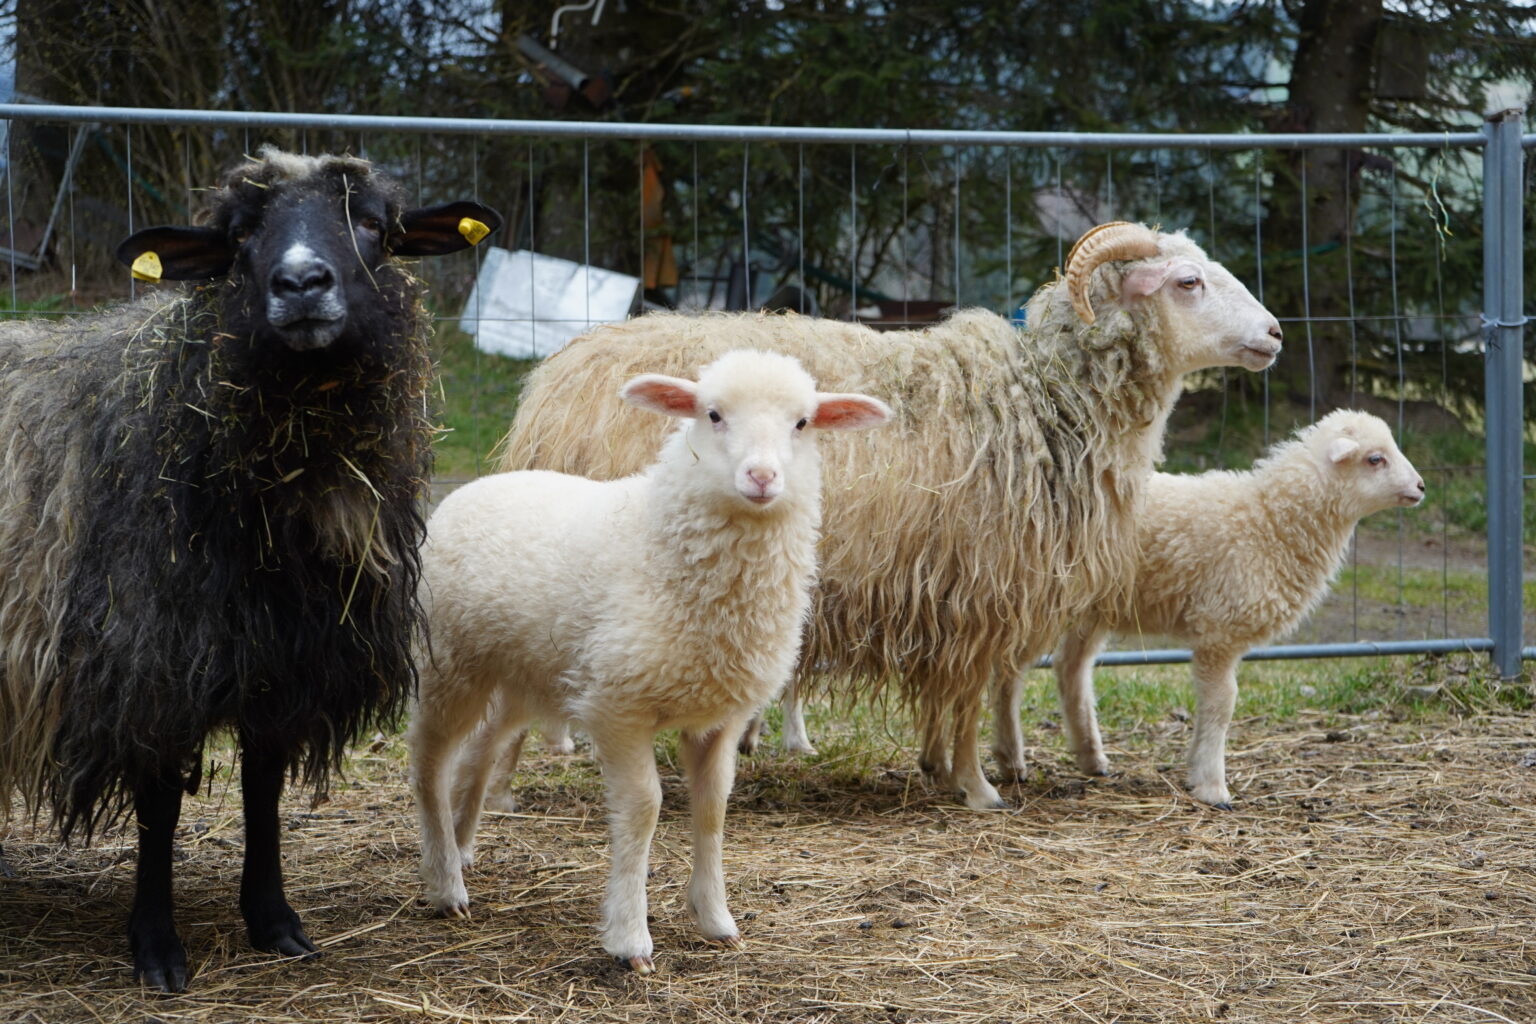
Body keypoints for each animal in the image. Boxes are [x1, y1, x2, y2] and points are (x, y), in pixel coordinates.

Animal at [0, 147, 500, 992]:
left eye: (373, 223)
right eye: (236, 235)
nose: (301, 283)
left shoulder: (285, 658)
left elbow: (263, 786)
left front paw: (273, 921)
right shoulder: (152, 659)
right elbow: (161, 806)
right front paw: (157, 946)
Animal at [408, 350, 891, 973]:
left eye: (803, 423)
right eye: (713, 414)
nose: (762, 477)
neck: (658, 540)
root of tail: (473, 486)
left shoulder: (720, 716)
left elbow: (712, 808)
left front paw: (716, 919)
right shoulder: (618, 707)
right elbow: (644, 807)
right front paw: (630, 937)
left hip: (524, 673)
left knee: (483, 747)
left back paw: (463, 846)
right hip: (449, 662)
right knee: (429, 761)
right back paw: (445, 881)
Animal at [493, 222, 1282, 809]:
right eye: (1188, 282)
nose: (1275, 333)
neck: (1048, 398)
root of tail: (555, 383)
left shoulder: (959, 593)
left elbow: (960, 697)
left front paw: (940, 767)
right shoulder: (979, 591)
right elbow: (968, 698)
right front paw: (977, 786)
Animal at [1045, 409, 1425, 808]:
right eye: (1375, 458)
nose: (1421, 487)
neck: (1269, 520)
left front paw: (1196, 768)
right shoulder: (1219, 631)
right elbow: (1222, 705)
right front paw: (1213, 786)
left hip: (1092, 610)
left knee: (1070, 667)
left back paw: (1090, 757)